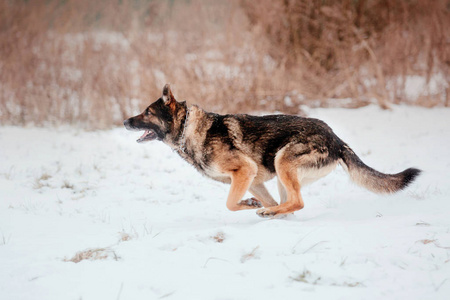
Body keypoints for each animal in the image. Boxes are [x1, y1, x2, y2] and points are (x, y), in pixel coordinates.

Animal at [124, 84, 422, 218]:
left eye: (147, 113)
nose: (125, 122)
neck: (189, 129)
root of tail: (337, 139)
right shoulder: (253, 180)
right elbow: (254, 201)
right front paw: (257, 206)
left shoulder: (245, 172)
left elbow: (230, 203)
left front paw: (250, 206)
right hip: (281, 175)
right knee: (288, 205)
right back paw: (274, 214)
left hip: (284, 161)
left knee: (298, 202)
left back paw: (269, 214)